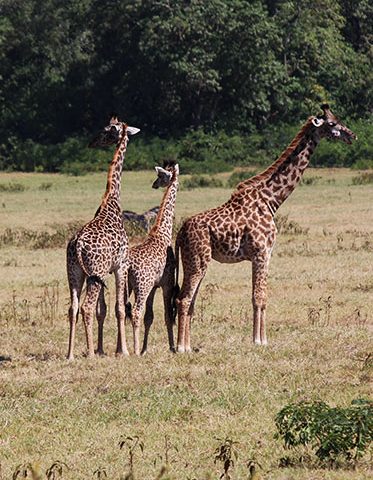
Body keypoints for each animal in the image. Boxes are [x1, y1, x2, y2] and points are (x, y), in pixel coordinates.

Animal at [65, 116, 140, 360]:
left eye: (106, 131)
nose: (91, 142)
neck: (112, 200)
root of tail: (78, 245)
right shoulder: (120, 265)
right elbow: (119, 308)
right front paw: (123, 351)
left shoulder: (104, 273)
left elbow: (104, 310)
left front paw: (103, 349)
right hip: (93, 274)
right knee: (86, 307)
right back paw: (88, 353)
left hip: (75, 274)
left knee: (73, 308)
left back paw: (70, 354)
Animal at [125, 163, 179, 354]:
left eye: (160, 176)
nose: (154, 184)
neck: (162, 232)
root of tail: (128, 266)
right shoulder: (166, 283)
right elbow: (167, 315)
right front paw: (172, 347)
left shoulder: (154, 286)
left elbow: (149, 317)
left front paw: (144, 349)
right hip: (142, 286)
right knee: (135, 312)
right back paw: (133, 350)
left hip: (128, 286)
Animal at [174, 105, 354, 352]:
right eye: (333, 124)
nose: (352, 135)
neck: (272, 199)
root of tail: (180, 233)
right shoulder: (261, 252)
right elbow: (259, 297)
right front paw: (259, 341)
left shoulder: (266, 254)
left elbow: (261, 297)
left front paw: (261, 339)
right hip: (198, 260)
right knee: (183, 299)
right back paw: (181, 348)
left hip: (194, 261)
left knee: (188, 300)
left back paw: (189, 346)